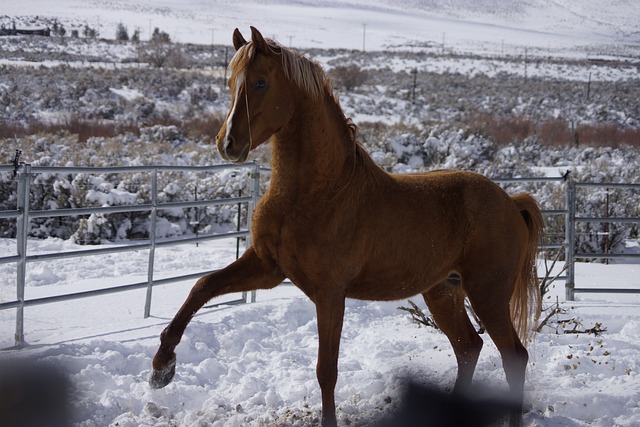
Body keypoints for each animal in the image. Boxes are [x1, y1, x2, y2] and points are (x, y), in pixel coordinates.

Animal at [149, 27, 540, 427]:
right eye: (231, 82)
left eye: (260, 82)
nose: (227, 144)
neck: (320, 193)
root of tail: (510, 202)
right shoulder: (268, 267)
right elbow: (203, 286)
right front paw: (162, 367)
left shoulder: (330, 294)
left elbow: (327, 371)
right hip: (444, 292)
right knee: (469, 348)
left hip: (487, 294)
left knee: (513, 356)